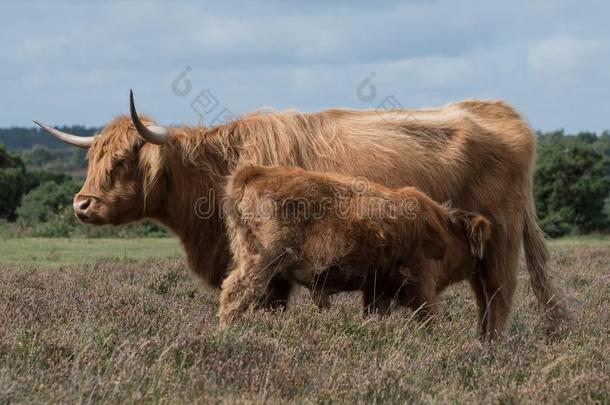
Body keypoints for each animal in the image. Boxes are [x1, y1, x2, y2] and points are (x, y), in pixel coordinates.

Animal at [218, 163, 490, 326]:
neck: (443, 229)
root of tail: (254, 171)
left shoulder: (378, 290)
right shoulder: (422, 286)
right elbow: (428, 320)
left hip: (276, 278)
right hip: (260, 263)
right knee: (235, 292)